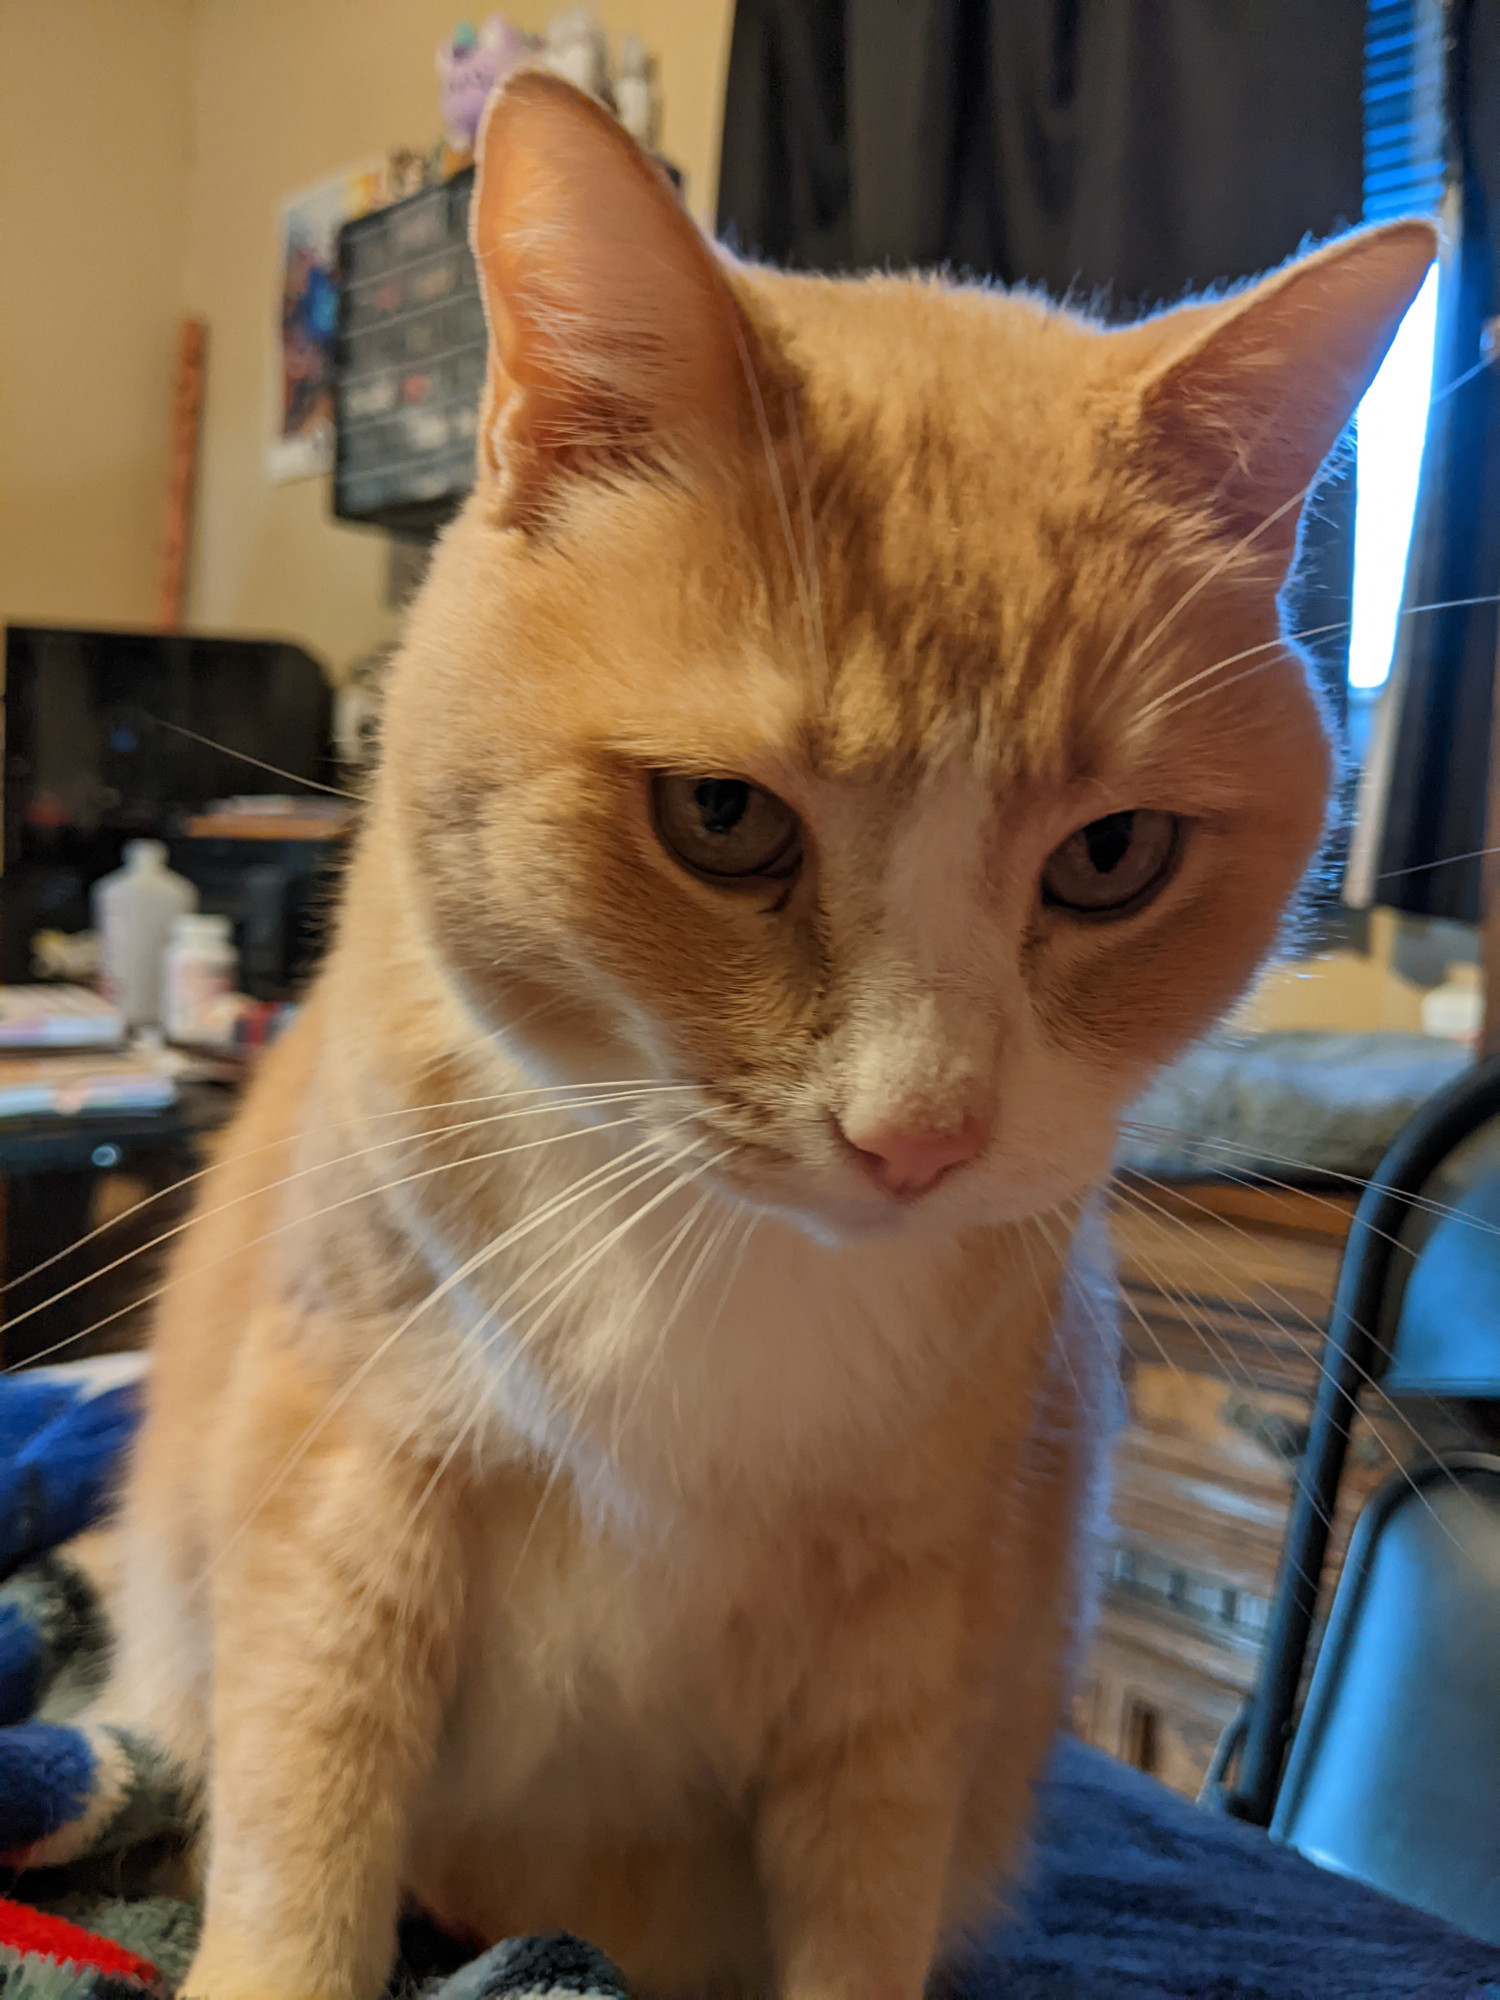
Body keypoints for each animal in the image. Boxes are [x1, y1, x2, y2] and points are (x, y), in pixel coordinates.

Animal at [67, 70, 1432, 2000]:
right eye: (721, 818)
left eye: (1112, 858)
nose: (917, 1136)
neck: (713, 1260)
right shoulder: (341, 1481)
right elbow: (305, 1819)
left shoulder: (919, 1619)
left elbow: (861, 1904)